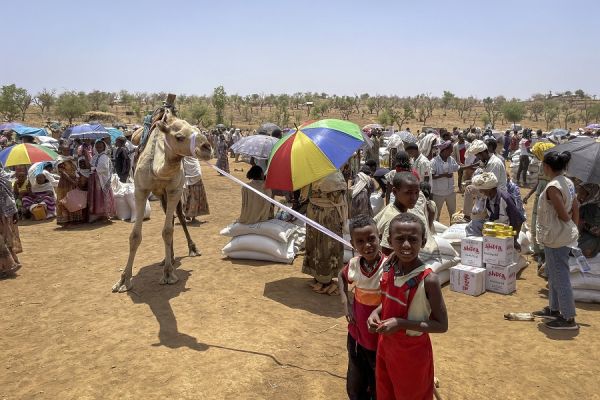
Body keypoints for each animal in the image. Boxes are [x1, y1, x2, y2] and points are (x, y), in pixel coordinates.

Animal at [112, 106, 213, 294]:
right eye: (179, 137)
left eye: (198, 130)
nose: (207, 147)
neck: (158, 169)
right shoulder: (141, 190)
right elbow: (135, 236)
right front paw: (123, 281)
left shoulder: (174, 190)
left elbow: (167, 231)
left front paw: (168, 275)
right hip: (161, 196)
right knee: (171, 216)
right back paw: (169, 258)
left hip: (173, 194)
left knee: (179, 217)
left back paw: (191, 249)